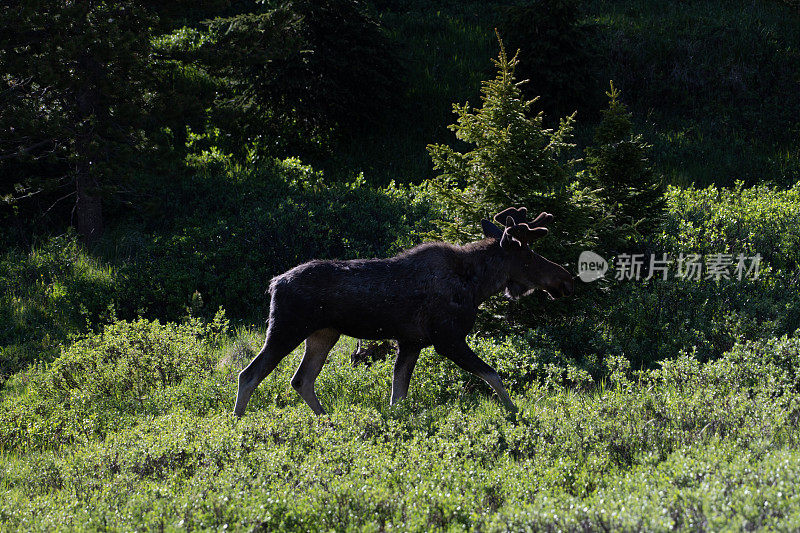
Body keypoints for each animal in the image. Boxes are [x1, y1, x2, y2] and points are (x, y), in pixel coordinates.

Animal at [233, 208, 576, 416]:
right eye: (528, 256)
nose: (566, 279)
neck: (477, 286)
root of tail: (273, 283)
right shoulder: (447, 338)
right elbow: (493, 374)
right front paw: (515, 414)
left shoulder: (411, 342)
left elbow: (398, 395)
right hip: (286, 328)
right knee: (249, 374)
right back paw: (239, 425)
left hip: (323, 333)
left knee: (301, 379)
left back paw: (326, 421)